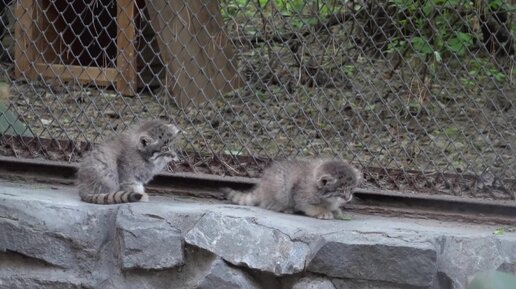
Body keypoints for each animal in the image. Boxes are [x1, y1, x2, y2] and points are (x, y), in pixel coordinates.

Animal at [228, 158, 364, 218]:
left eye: (351, 189)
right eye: (341, 190)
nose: (348, 198)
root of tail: (261, 187)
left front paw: (335, 210)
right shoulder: (300, 195)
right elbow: (308, 206)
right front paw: (322, 211)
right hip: (280, 189)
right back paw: (286, 208)